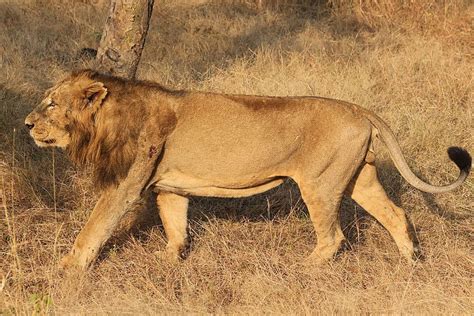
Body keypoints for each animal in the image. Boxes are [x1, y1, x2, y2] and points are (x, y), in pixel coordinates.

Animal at [25, 70, 470, 270]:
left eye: (51, 103)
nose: (27, 124)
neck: (106, 121)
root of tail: (360, 109)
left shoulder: (124, 185)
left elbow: (93, 229)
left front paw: (67, 269)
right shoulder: (169, 187)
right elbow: (175, 225)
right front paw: (170, 261)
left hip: (319, 184)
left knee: (334, 237)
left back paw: (305, 268)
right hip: (360, 177)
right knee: (396, 214)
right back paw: (412, 261)